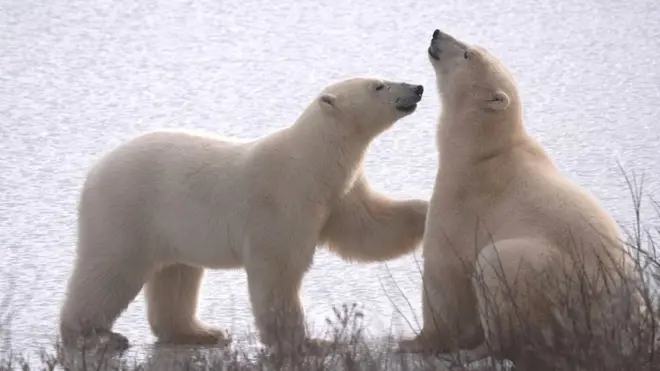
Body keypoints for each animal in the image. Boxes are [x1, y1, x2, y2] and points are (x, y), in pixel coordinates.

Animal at [60, 76, 428, 354]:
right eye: (378, 85)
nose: (417, 88)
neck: (310, 162)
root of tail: (94, 171)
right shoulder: (283, 199)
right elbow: (279, 269)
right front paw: (309, 343)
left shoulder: (338, 195)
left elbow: (368, 230)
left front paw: (425, 212)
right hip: (127, 209)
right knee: (109, 270)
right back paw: (94, 336)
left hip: (171, 225)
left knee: (176, 275)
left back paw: (201, 332)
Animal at [398, 29, 644, 370]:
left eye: (468, 53)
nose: (437, 33)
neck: (482, 149)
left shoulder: (464, 195)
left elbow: (444, 270)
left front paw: (414, 342)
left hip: (547, 274)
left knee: (495, 266)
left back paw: (476, 351)